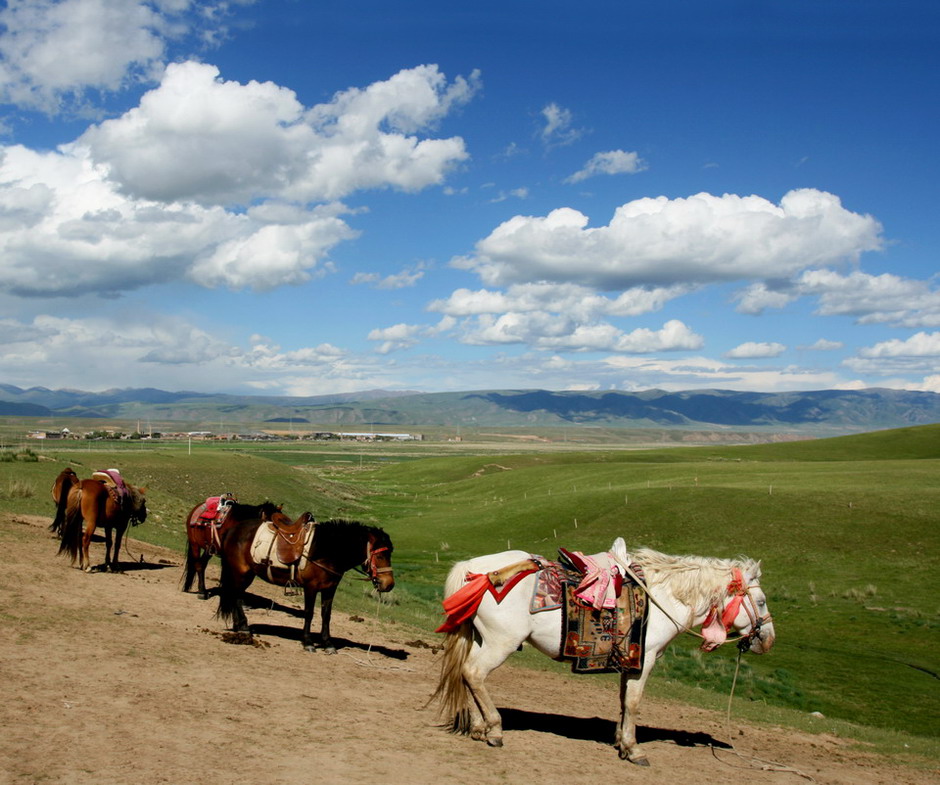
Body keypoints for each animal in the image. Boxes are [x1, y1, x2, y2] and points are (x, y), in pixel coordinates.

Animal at [218, 512, 394, 652]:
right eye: (380, 556)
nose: (389, 584)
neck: (326, 551)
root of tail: (233, 530)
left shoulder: (330, 589)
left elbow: (326, 615)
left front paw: (328, 644)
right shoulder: (311, 587)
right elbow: (309, 613)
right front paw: (308, 642)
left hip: (246, 574)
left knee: (236, 595)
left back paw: (239, 626)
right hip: (241, 573)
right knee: (236, 596)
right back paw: (244, 627)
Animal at [434, 540, 772, 764]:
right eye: (762, 601)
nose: (767, 639)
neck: (663, 598)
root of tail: (473, 570)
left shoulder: (631, 661)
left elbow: (623, 702)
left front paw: (621, 742)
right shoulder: (645, 659)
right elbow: (634, 703)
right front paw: (634, 750)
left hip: (482, 638)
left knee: (468, 674)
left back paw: (479, 728)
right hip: (501, 641)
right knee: (474, 673)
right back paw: (494, 730)